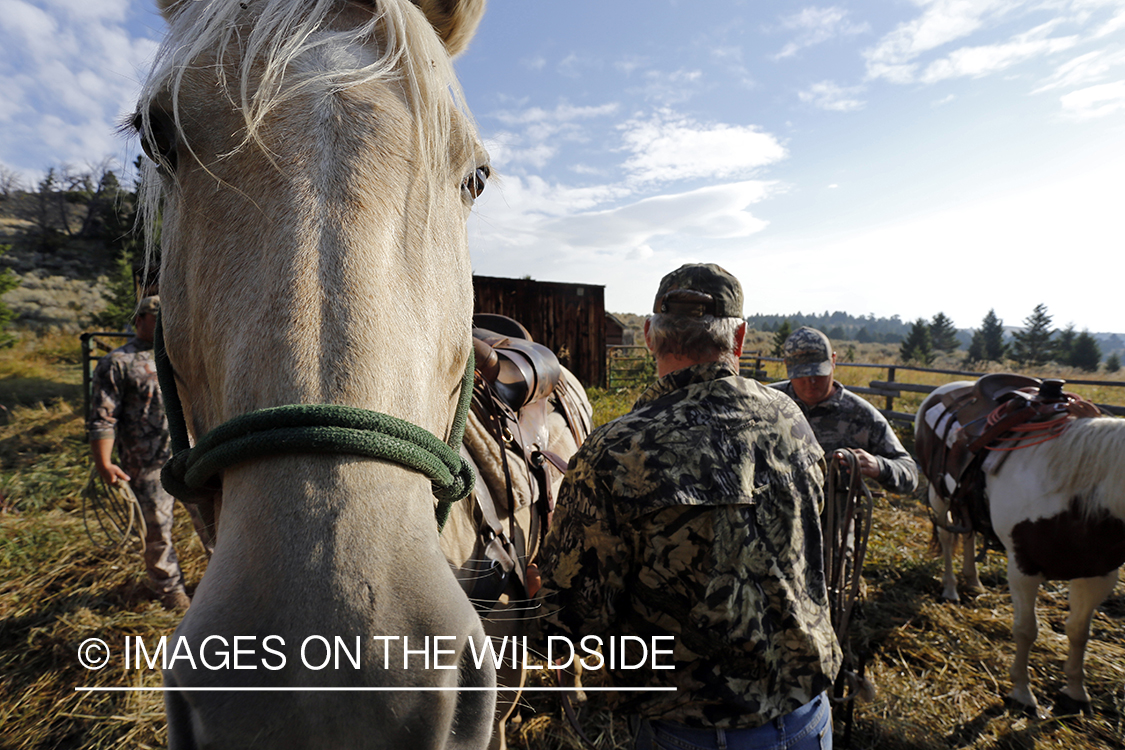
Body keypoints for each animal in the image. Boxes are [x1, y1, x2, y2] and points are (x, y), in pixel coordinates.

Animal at [915, 380, 1125, 715]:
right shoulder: (1024, 569)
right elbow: (1027, 629)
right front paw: (1022, 692)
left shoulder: (1099, 574)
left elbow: (1079, 631)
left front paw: (1075, 692)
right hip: (940, 494)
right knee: (948, 539)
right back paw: (951, 588)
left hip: (965, 499)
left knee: (969, 532)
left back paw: (973, 581)